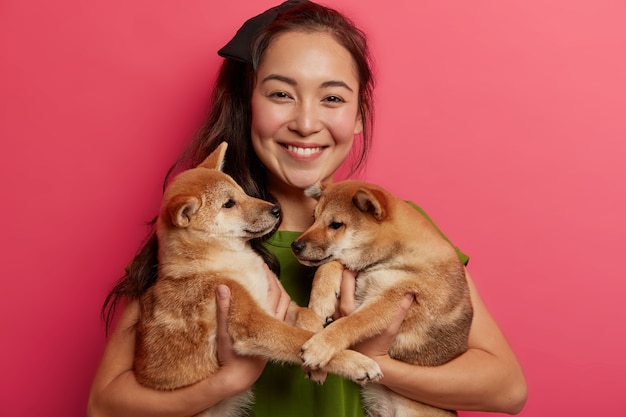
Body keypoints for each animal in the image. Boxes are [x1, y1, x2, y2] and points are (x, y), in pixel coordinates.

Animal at [134, 143, 380, 416]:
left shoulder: (277, 304)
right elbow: (295, 337)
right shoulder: (253, 322)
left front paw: (319, 345)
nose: (276, 210)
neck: (229, 261)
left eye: (242, 192)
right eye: (228, 204)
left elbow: (306, 319)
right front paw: (353, 360)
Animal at [290, 180, 470, 416]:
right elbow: (329, 264)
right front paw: (321, 300)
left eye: (336, 225)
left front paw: (320, 346)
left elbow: (352, 322)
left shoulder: (396, 299)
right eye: (314, 218)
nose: (295, 246)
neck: (394, 254)